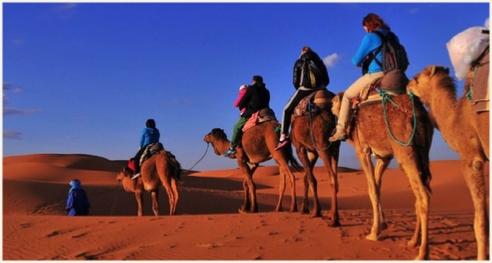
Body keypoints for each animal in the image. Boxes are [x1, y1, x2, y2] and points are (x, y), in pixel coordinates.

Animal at [290, 91, 340, 227]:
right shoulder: (313, 151)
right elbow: (306, 177)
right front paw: (304, 208)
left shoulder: (300, 148)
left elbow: (311, 179)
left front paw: (316, 211)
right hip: (335, 147)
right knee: (335, 177)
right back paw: (333, 215)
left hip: (322, 146)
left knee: (332, 178)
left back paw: (334, 220)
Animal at [330, 89, 434, 260]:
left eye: (333, 102)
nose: (331, 106)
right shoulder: (384, 157)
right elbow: (377, 187)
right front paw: (382, 225)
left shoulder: (362, 150)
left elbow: (372, 189)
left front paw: (373, 233)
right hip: (421, 153)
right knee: (418, 194)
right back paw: (413, 241)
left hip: (405, 150)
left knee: (423, 196)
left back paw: (422, 253)